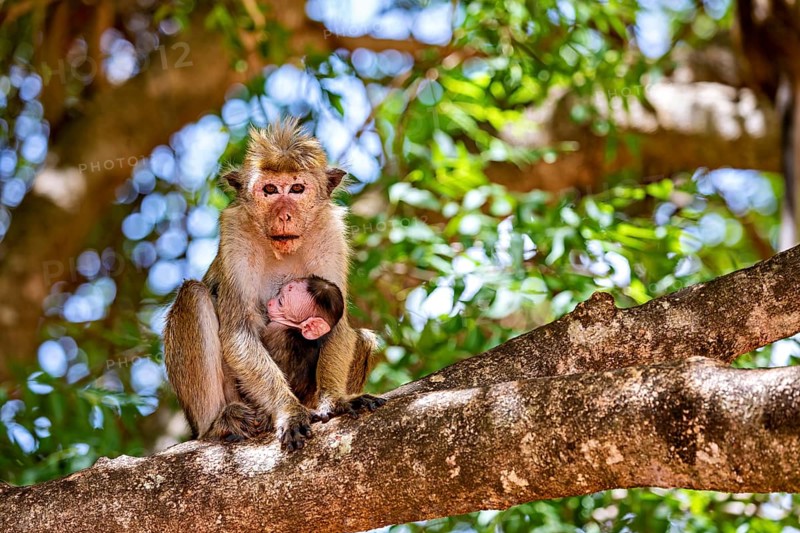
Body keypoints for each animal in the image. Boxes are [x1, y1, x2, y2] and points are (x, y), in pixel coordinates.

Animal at [163, 118, 385, 450]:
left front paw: (335, 401)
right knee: (192, 294)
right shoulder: (235, 233)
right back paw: (218, 424)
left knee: (365, 339)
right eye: (269, 190)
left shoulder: (330, 232)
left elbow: (340, 326)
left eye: (297, 189)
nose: (284, 215)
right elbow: (238, 331)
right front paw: (289, 411)